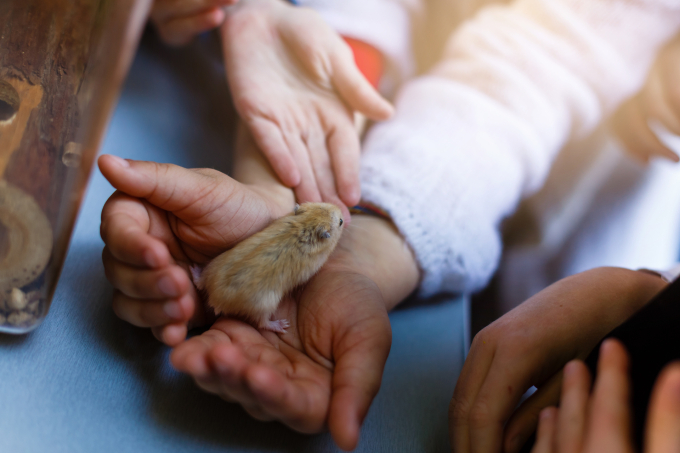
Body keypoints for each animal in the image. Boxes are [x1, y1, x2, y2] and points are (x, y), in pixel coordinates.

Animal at [192, 202, 344, 333]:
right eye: (341, 222)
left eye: (323, 203)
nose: (341, 209)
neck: (306, 224)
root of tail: (214, 299)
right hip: (265, 305)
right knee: (262, 323)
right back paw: (281, 325)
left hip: (213, 264)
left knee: (200, 282)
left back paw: (194, 270)